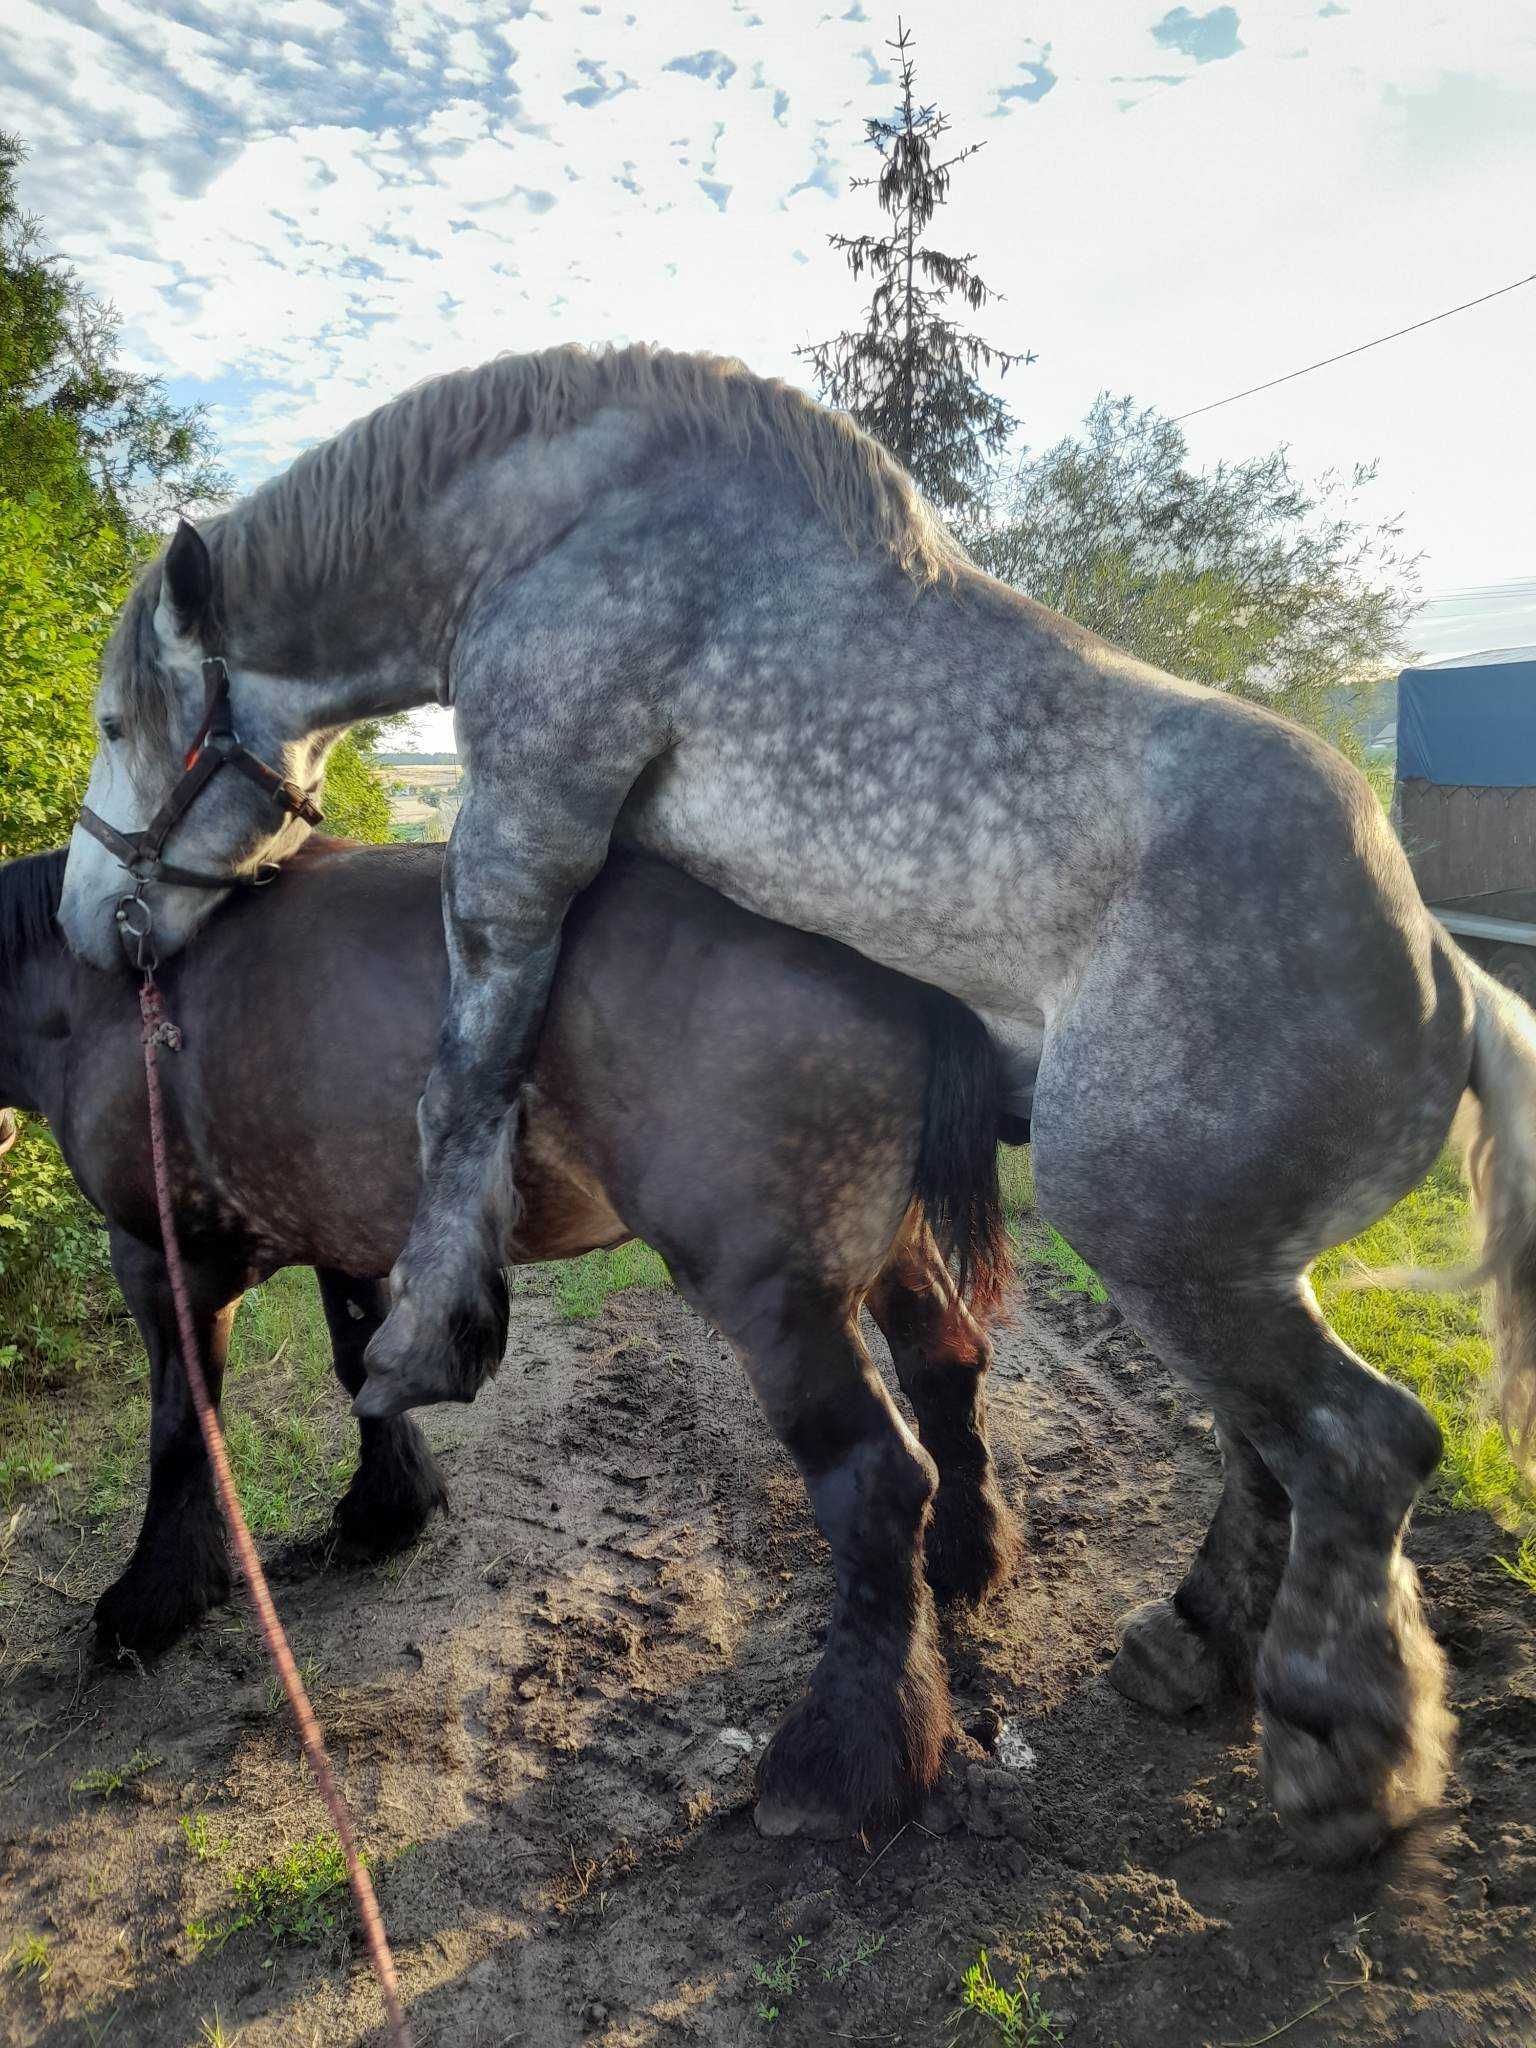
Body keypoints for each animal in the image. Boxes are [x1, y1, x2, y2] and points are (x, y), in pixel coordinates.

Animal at [54, 348, 1536, 1859]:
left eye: (117, 722)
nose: (82, 919)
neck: (552, 518)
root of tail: (1448, 979)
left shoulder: (528, 825)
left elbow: (465, 1063)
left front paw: (431, 1329)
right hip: (1228, 1266)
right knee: (1264, 1449)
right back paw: (1190, 1645)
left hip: (1162, 1245)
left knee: (1359, 1449)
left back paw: (1341, 1752)